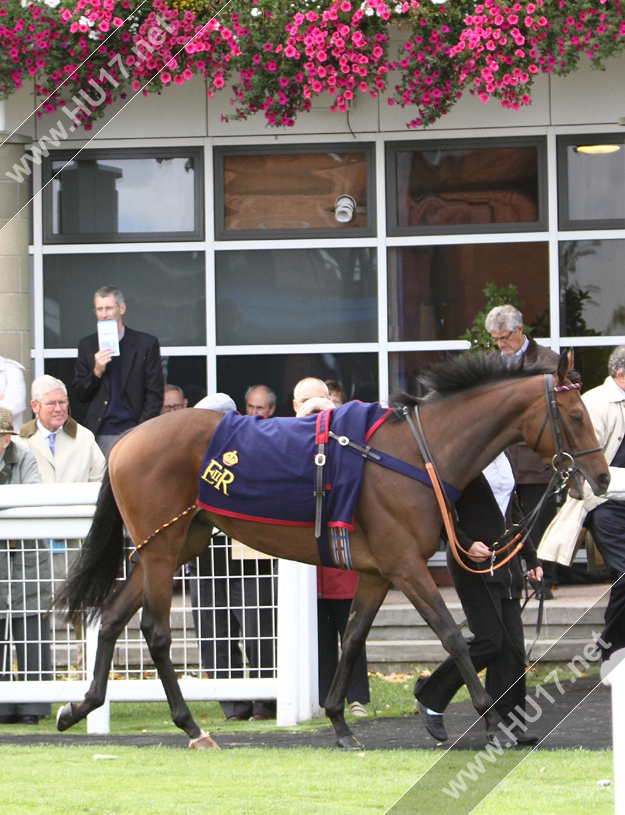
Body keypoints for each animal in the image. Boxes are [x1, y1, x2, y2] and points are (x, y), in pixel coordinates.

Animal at [53, 350, 608, 744]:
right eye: (575, 416)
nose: (601, 477)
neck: (414, 454)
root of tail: (124, 443)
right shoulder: (407, 566)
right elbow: (451, 635)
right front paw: (490, 722)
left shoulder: (379, 571)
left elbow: (355, 636)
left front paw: (340, 723)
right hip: (162, 548)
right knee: (155, 630)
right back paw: (190, 725)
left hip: (176, 543)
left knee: (113, 615)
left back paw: (79, 706)